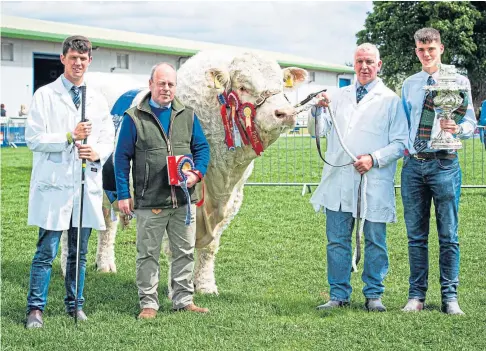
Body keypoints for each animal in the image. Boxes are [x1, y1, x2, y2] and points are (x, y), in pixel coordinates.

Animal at [60, 49, 306, 296]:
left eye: (281, 86)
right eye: (244, 87)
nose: (285, 113)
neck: (223, 178)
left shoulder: (232, 200)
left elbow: (210, 247)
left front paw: (205, 285)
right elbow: (176, 247)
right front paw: (177, 290)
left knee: (107, 226)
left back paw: (105, 264)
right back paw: (65, 267)